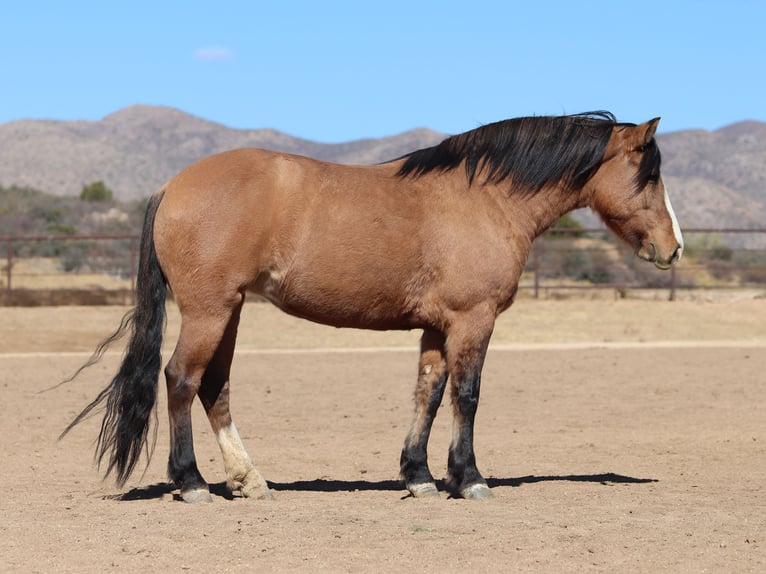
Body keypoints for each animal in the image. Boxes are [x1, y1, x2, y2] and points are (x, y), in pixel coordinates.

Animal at [64, 112, 684, 504]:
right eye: (649, 173)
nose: (673, 248)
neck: (485, 199)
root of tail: (172, 186)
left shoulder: (436, 327)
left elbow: (427, 394)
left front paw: (419, 476)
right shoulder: (472, 320)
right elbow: (467, 396)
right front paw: (469, 478)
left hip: (229, 311)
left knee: (214, 386)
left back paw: (249, 481)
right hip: (208, 311)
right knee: (181, 379)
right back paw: (191, 483)